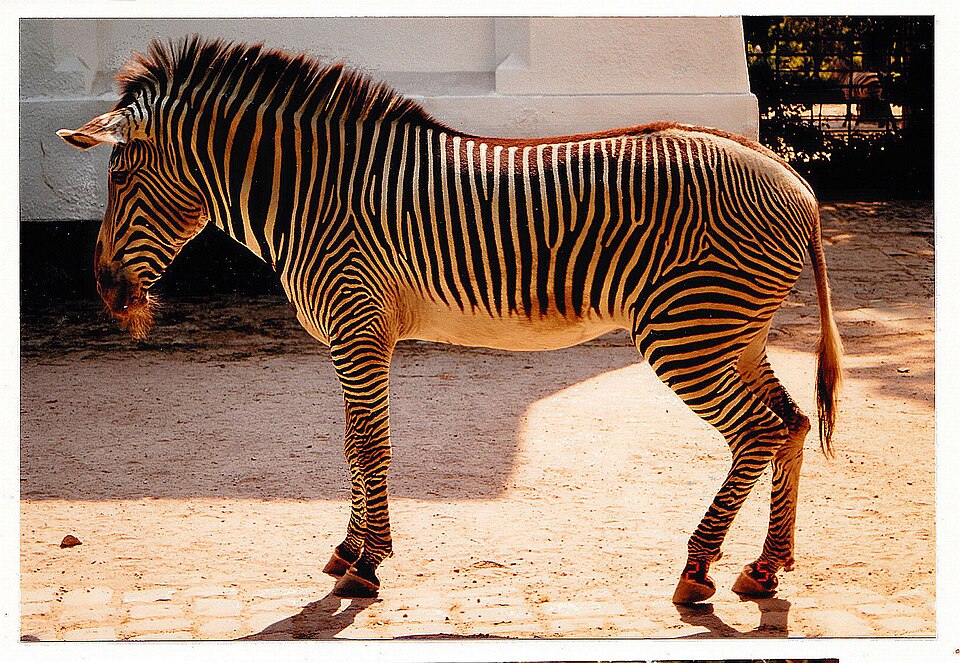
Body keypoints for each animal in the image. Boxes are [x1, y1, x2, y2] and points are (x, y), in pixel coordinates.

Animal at [58, 37, 842, 605]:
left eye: (120, 176)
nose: (106, 295)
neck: (315, 195)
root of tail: (793, 180)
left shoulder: (358, 325)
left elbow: (370, 446)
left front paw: (368, 564)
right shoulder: (353, 335)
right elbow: (352, 445)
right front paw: (348, 549)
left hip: (686, 330)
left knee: (759, 430)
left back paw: (698, 568)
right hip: (732, 331)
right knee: (793, 422)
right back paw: (765, 568)